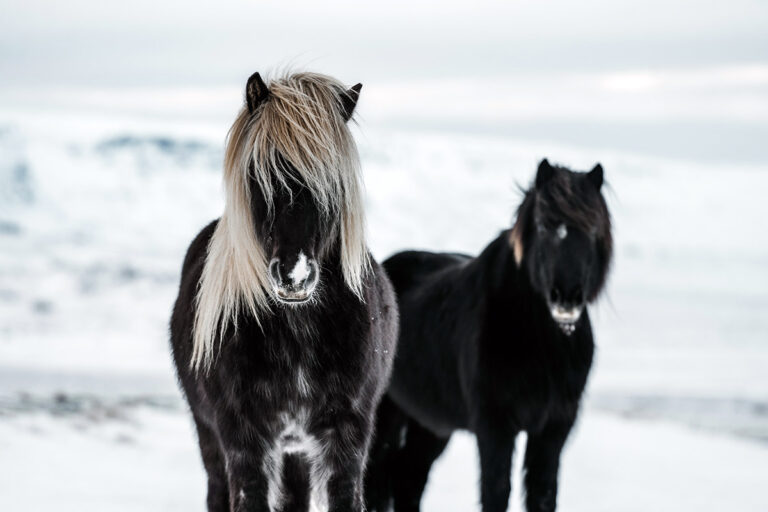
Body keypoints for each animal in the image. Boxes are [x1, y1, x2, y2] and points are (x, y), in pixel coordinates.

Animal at [170, 71, 398, 512]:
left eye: (333, 183)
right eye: (259, 174)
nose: (294, 276)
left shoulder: (347, 439)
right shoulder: (243, 440)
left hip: (297, 453)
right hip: (212, 437)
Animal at [364, 159, 612, 512]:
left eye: (593, 230)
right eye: (544, 226)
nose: (567, 297)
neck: (540, 343)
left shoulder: (553, 428)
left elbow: (542, 494)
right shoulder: (495, 426)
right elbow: (496, 492)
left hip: (430, 424)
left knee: (408, 478)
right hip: (385, 415)